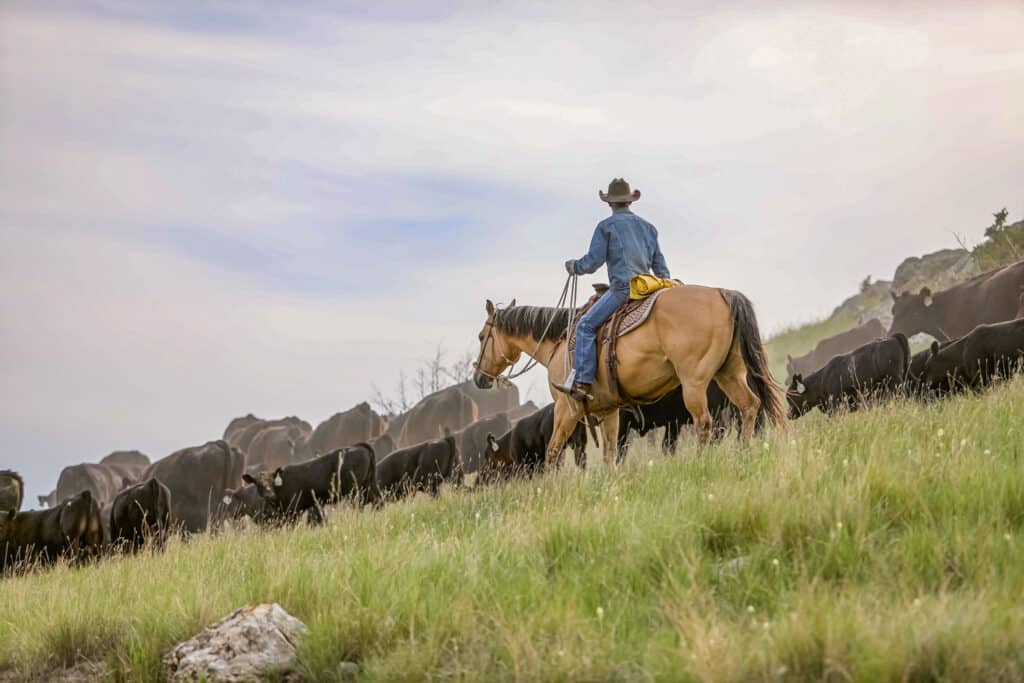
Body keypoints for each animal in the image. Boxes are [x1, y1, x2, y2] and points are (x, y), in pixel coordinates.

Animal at [244, 443, 380, 524]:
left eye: (272, 481)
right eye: (257, 484)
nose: (269, 494)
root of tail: (357, 446)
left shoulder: (293, 511)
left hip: (355, 491)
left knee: (359, 506)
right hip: (369, 486)